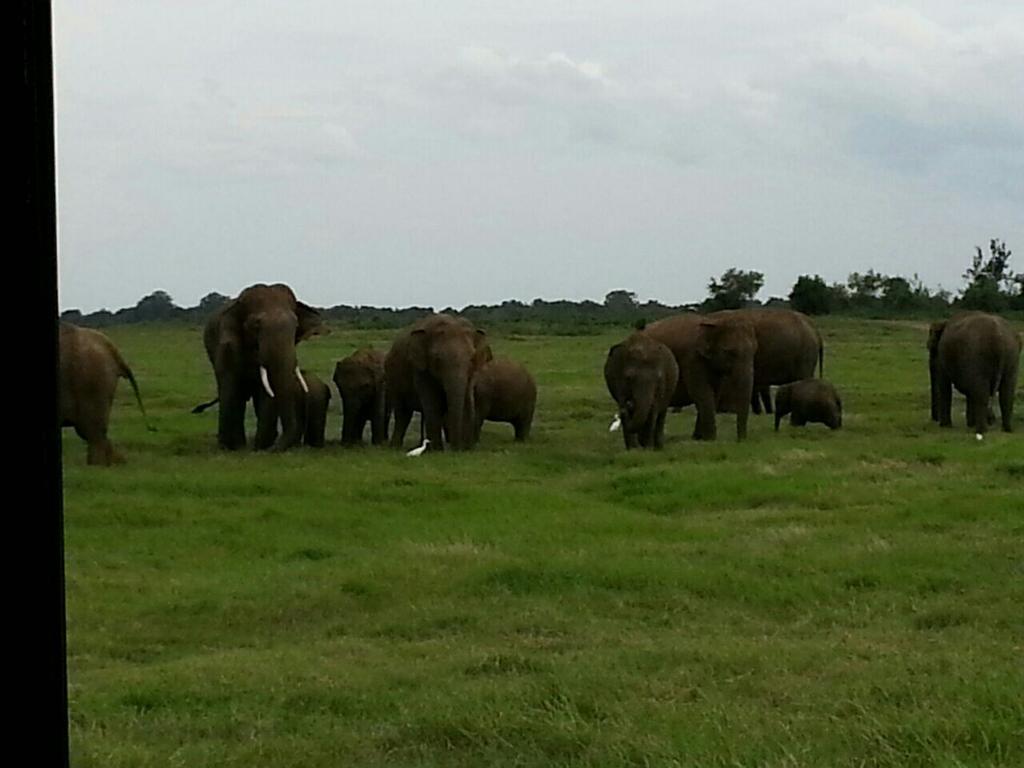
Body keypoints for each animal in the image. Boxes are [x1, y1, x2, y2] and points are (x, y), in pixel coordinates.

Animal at [200, 282, 323, 450]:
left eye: (296, 325)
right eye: (256, 325)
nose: (275, 449)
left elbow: (268, 390)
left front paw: (260, 447)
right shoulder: (227, 345)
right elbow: (231, 386)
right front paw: (233, 447)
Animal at [385, 315, 493, 454]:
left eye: (471, 358)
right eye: (437, 359)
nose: (456, 449)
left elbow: (468, 401)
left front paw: (467, 449)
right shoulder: (420, 368)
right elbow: (433, 403)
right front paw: (437, 451)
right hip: (393, 379)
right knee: (403, 413)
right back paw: (395, 447)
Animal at [643, 311, 757, 442]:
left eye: (755, 350)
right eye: (729, 352)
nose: (741, 440)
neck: (714, 321)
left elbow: (714, 393)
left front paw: (699, 438)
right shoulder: (692, 358)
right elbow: (701, 392)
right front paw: (710, 439)